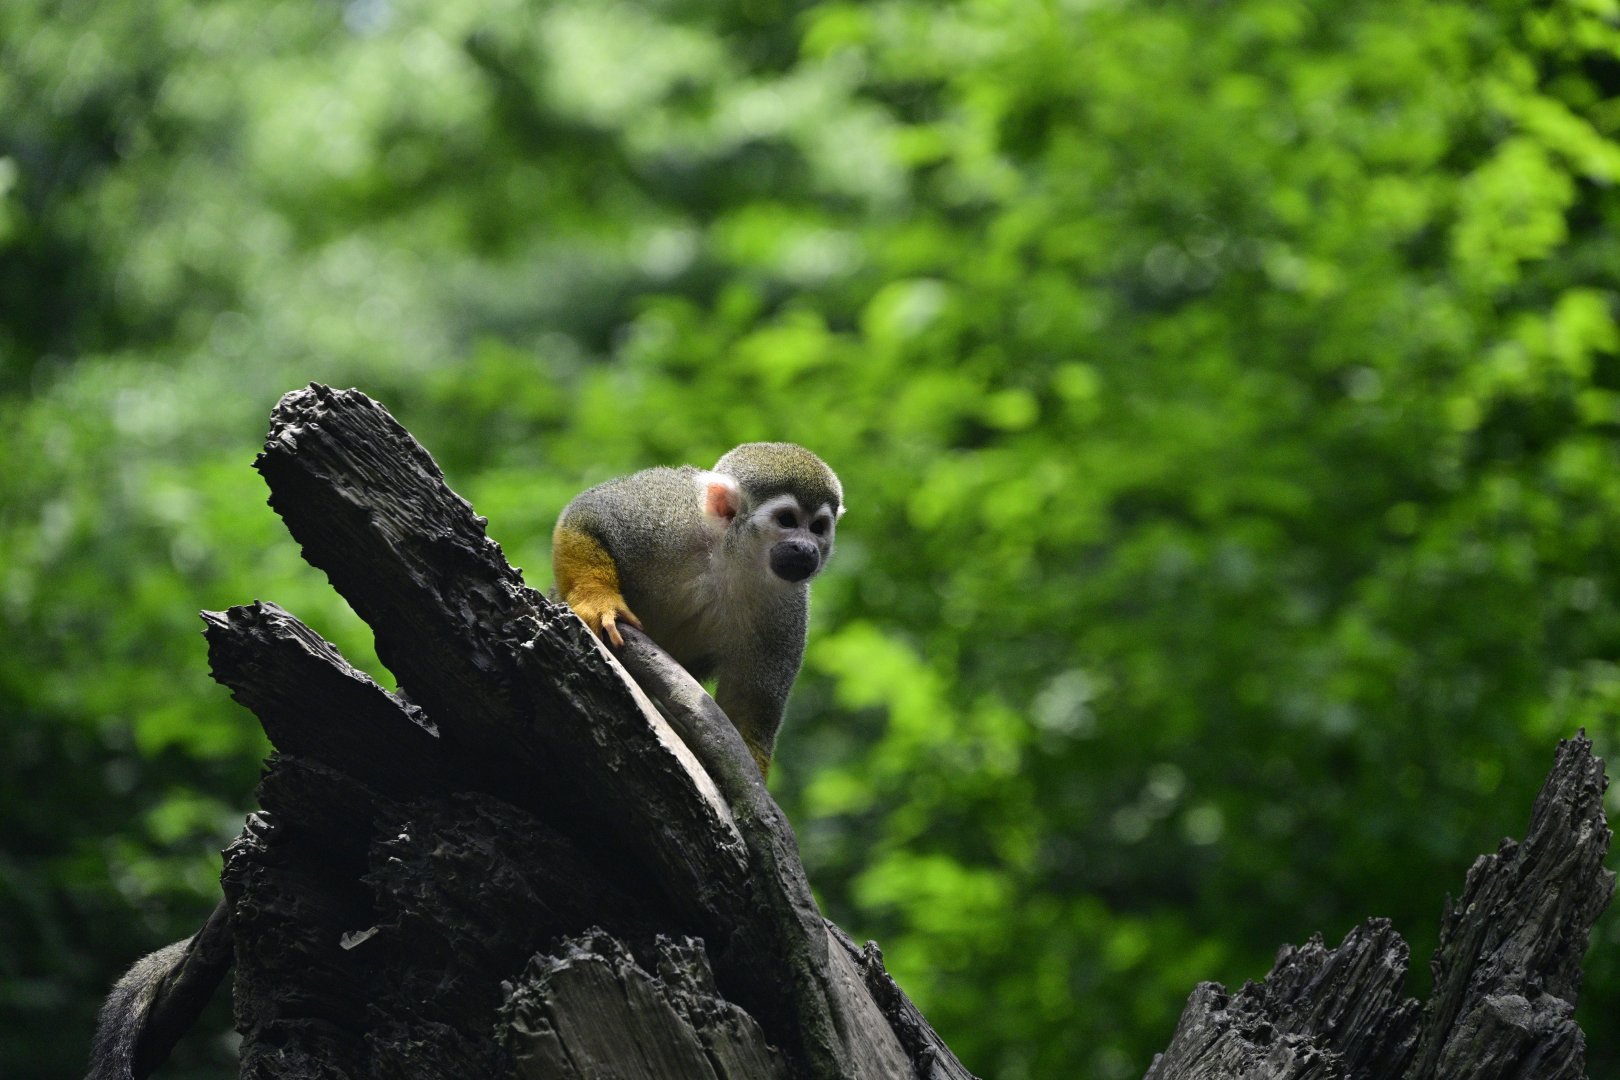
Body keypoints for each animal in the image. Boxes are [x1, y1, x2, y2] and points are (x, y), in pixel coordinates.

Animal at [552, 442, 843, 777]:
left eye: (818, 527)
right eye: (787, 520)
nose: (806, 548)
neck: (729, 558)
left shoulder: (786, 608)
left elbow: (750, 709)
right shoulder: (667, 516)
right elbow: (588, 516)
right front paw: (598, 600)